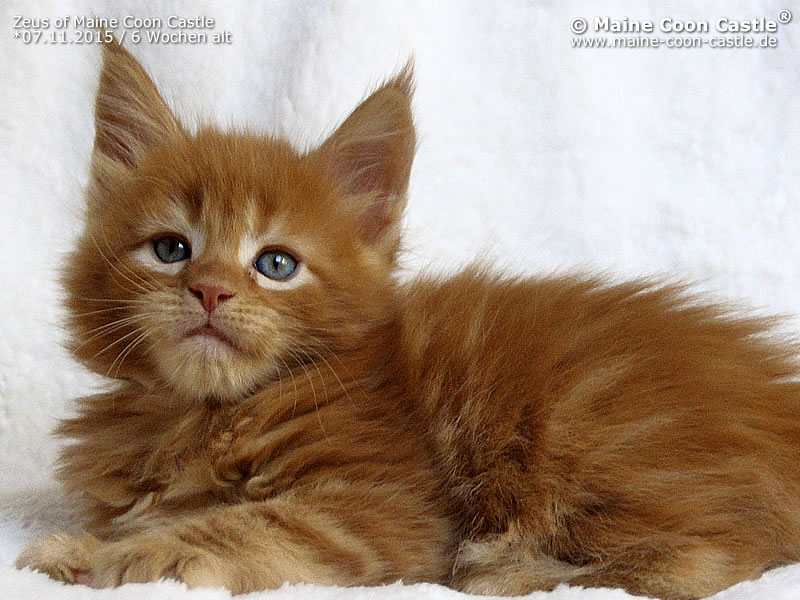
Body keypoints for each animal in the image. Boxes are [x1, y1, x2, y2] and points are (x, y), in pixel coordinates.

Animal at [17, 38, 800, 600]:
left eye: (275, 264)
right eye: (171, 249)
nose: (209, 291)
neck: (199, 414)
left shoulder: (388, 505)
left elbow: (251, 525)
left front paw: (136, 554)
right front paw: (83, 547)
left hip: (588, 430)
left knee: (709, 560)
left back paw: (507, 570)